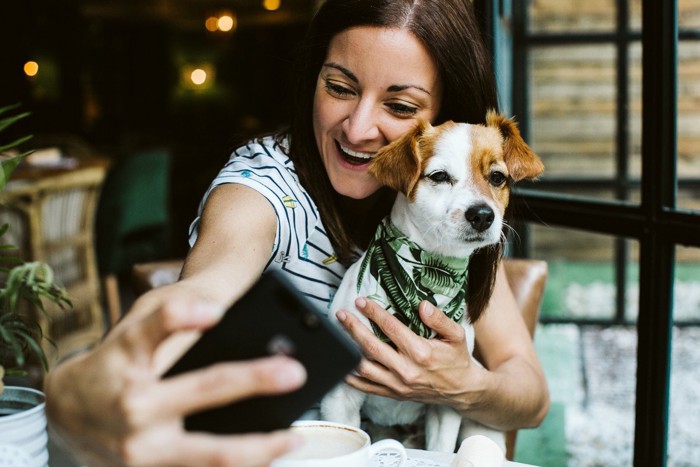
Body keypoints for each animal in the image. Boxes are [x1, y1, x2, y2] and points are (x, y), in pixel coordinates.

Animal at [320, 109, 544, 454]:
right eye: (439, 176)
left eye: (497, 178)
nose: (483, 214)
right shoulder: (339, 399)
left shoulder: (448, 402)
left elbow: (440, 450)